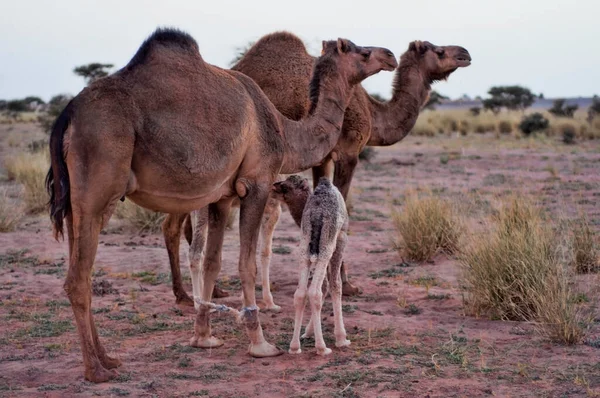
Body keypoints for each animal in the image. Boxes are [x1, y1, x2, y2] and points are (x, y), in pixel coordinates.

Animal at [162, 37, 472, 308]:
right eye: (439, 50)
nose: (465, 54)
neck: (373, 113)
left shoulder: (321, 158)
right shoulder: (348, 152)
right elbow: (343, 211)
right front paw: (347, 285)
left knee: (180, 225)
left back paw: (205, 292)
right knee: (175, 226)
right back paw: (187, 295)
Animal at [274, 175, 352, 354]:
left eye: (286, 186)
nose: (275, 187)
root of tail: (317, 213)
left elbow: (325, 285)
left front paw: (307, 333)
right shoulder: (341, 239)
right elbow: (334, 285)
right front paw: (341, 338)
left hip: (304, 245)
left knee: (300, 293)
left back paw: (294, 347)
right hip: (326, 246)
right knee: (315, 292)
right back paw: (322, 348)